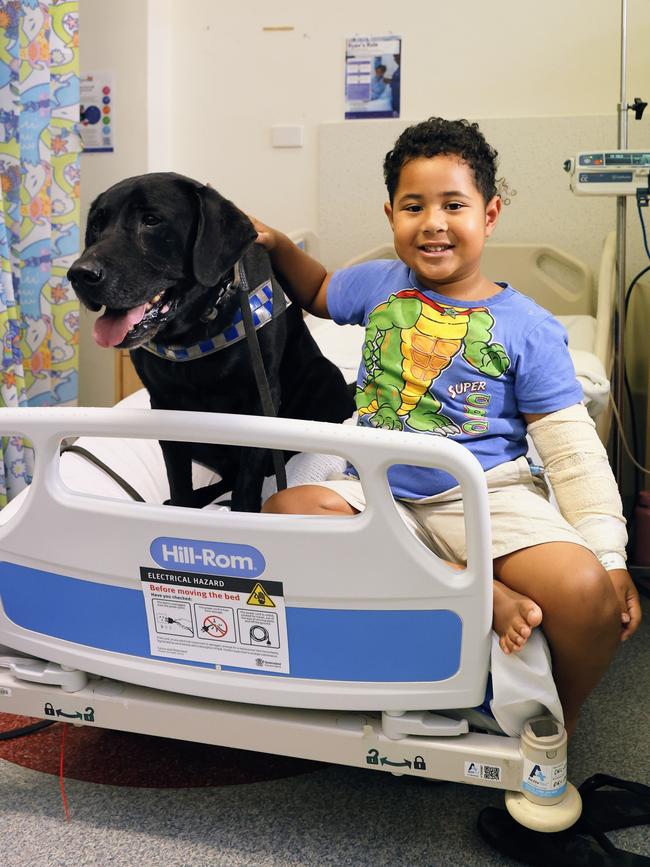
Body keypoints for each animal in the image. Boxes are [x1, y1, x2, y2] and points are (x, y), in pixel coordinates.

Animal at [67, 172, 352, 512]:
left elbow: (248, 479)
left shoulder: (260, 399)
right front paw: (182, 506)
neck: (195, 328)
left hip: (324, 375)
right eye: (97, 224)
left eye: (151, 220)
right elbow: (178, 478)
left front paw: (244, 511)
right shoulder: (164, 404)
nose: (79, 274)